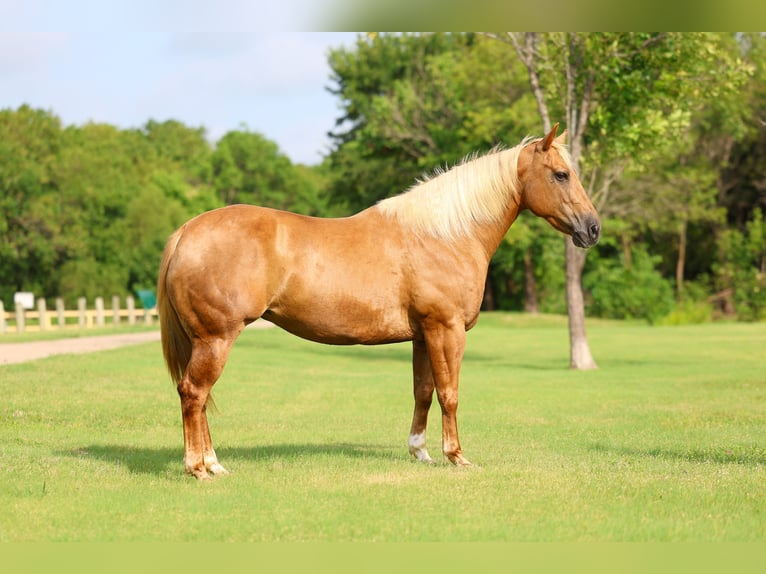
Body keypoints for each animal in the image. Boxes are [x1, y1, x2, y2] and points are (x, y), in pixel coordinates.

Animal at [157, 124, 601, 479]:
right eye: (561, 175)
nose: (593, 228)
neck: (444, 234)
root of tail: (186, 232)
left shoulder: (423, 334)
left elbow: (423, 391)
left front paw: (420, 452)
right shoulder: (447, 329)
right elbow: (450, 393)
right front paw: (456, 456)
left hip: (206, 341)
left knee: (199, 397)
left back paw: (214, 463)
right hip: (216, 338)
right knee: (194, 393)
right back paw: (198, 468)